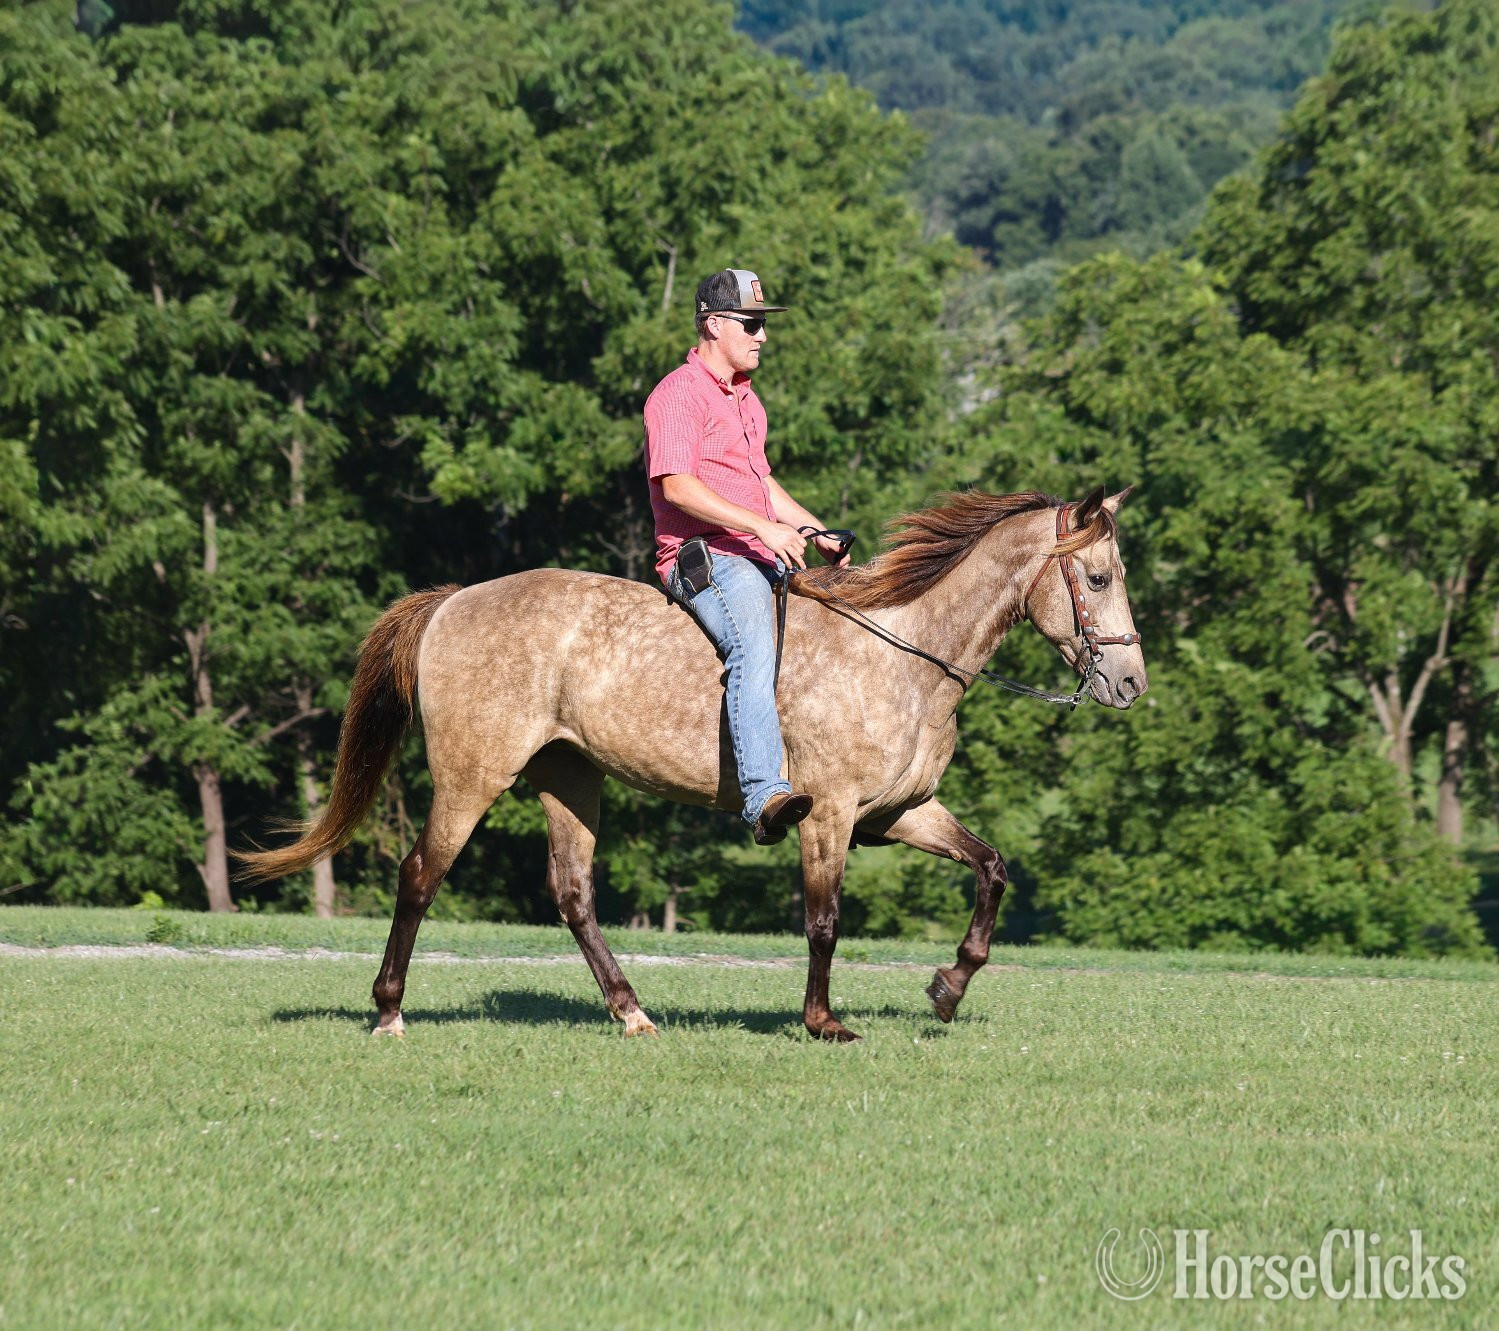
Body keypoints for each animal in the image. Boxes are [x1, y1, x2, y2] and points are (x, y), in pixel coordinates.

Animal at [239, 486, 1147, 1041]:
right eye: (1097, 577)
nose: (1130, 682)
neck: (902, 653)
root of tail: (453, 600)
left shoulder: (900, 812)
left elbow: (992, 868)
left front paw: (948, 985)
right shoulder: (829, 813)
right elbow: (823, 920)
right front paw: (822, 1021)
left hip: (569, 776)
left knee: (572, 894)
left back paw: (631, 1011)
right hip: (473, 775)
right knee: (419, 874)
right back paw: (389, 1012)